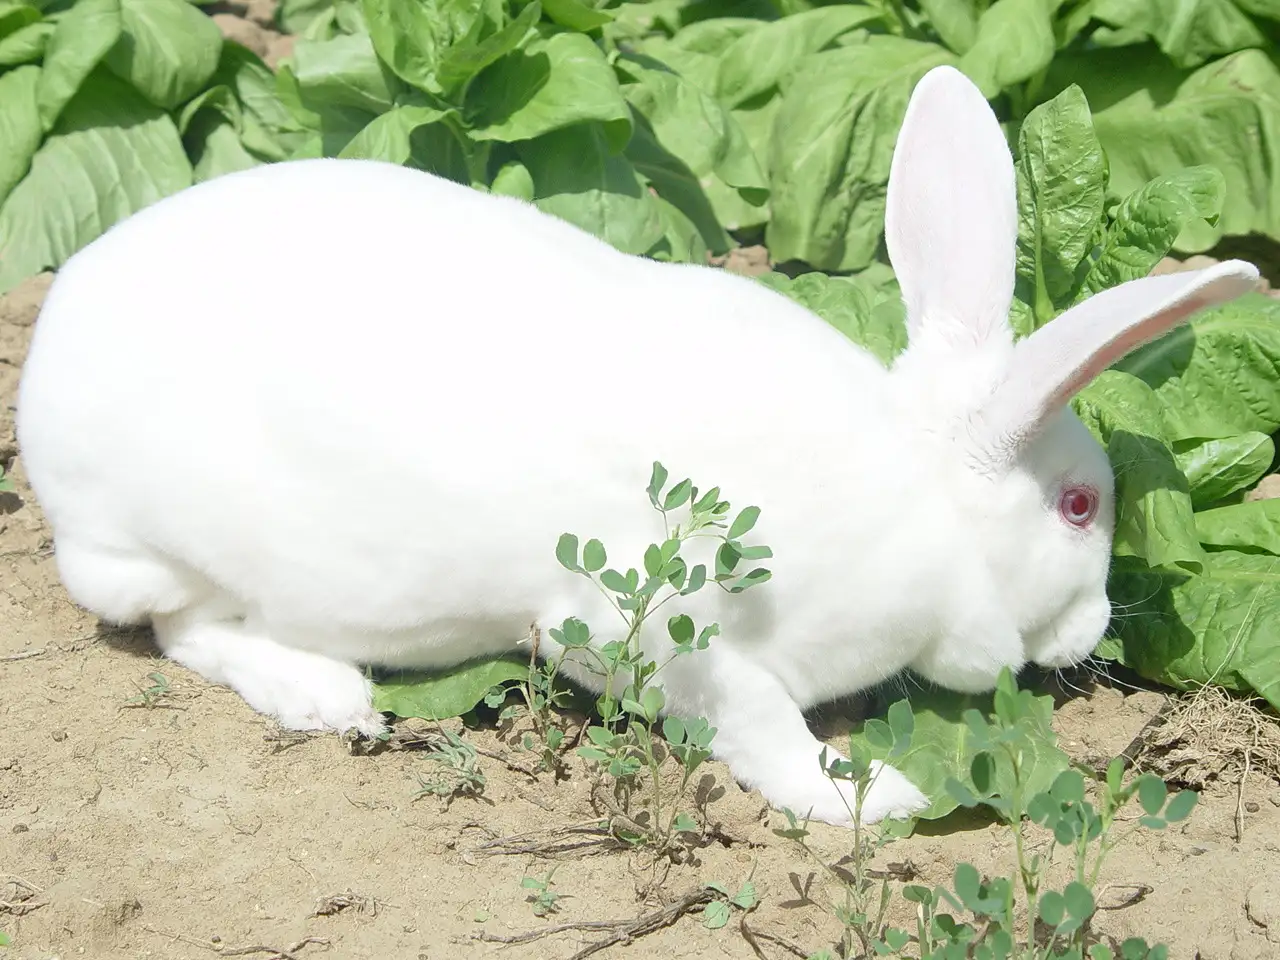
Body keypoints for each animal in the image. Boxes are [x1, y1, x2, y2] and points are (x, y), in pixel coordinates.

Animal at [15, 65, 1259, 829]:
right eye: (1077, 509)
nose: (1091, 633)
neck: (920, 499)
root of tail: (44, 373)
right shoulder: (676, 636)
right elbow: (759, 730)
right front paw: (869, 794)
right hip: (180, 547)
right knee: (184, 630)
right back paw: (327, 698)